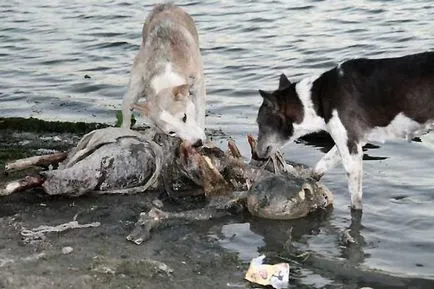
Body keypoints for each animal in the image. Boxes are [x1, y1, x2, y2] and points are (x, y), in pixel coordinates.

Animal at [256, 51, 434, 209]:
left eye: (260, 123)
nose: (257, 154)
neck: (316, 99)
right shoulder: (349, 140)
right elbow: (320, 167)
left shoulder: (351, 150)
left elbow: (356, 202)